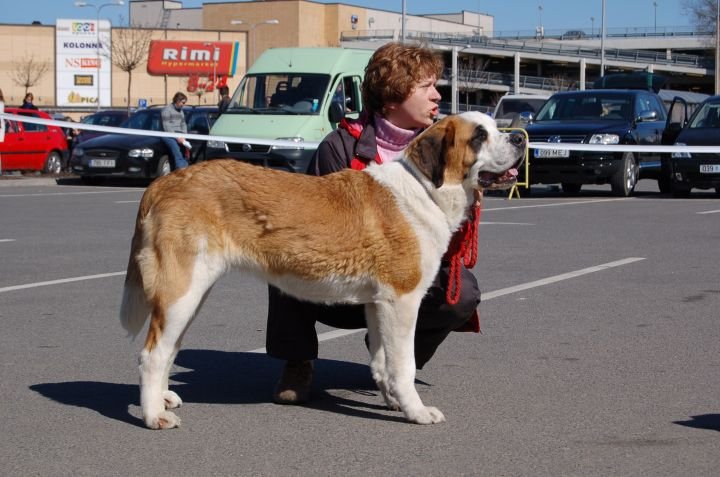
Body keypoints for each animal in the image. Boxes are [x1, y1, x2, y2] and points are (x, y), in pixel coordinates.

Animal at [118, 110, 524, 428]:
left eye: (496, 128)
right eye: (480, 136)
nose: (520, 136)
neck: (425, 189)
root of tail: (164, 182)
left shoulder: (379, 304)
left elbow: (382, 360)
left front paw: (393, 400)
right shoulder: (402, 300)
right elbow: (404, 363)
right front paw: (416, 411)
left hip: (191, 294)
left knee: (169, 347)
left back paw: (163, 397)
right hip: (181, 291)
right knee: (152, 354)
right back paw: (154, 416)